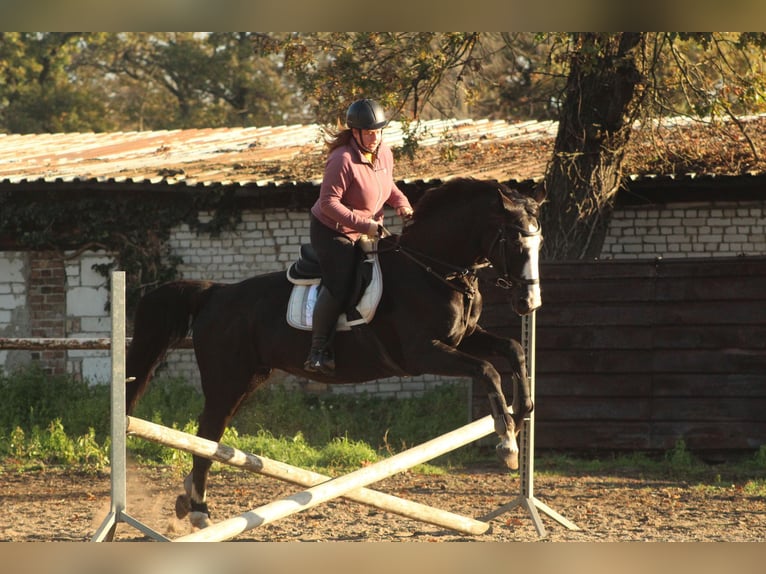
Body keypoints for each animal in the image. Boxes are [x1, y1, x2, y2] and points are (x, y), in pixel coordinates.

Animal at [126, 179, 544, 532]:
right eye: (514, 241)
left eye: (538, 244)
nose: (529, 303)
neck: (432, 268)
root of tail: (216, 293)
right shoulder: (423, 354)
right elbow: (488, 370)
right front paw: (507, 443)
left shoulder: (463, 339)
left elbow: (512, 349)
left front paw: (522, 412)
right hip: (227, 380)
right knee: (206, 433)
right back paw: (199, 509)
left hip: (249, 380)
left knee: (211, 435)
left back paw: (188, 498)